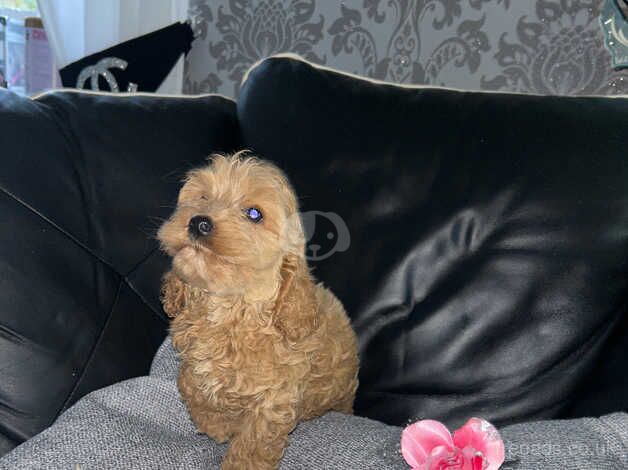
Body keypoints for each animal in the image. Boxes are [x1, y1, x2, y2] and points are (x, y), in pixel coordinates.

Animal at [157, 152, 358, 468]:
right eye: (202, 197)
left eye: (254, 214)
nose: (198, 222)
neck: (229, 310)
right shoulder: (192, 365)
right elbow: (191, 385)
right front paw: (217, 424)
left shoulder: (274, 401)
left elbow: (252, 445)